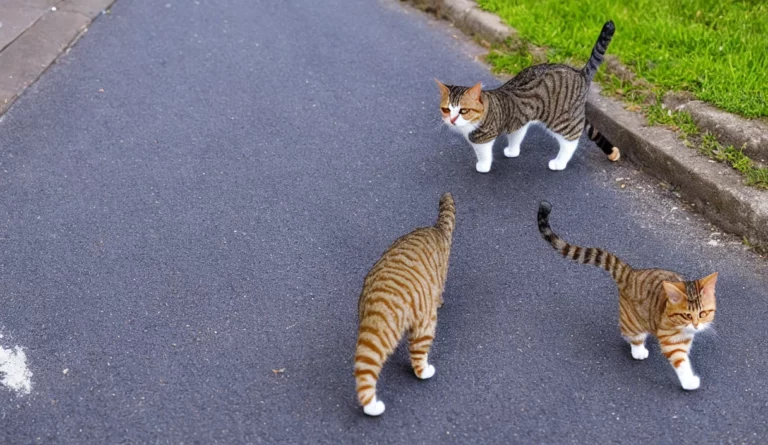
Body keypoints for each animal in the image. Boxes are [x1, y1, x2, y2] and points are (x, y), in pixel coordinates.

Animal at [438, 21, 616, 173]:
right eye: (446, 110)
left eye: (463, 111)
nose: (451, 120)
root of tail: (580, 73)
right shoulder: (519, 119)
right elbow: (516, 136)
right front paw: (512, 150)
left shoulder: (482, 138)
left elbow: (483, 154)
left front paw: (483, 166)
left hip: (562, 119)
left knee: (571, 142)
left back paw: (559, 162)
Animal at [536, 200, 716, 388]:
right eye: (687, 315)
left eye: (702, 313)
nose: (696, 325)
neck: (683, 329)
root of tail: (631, 272)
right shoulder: (670, 340)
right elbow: (679, 360)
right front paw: (688, 381)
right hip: (632, 320)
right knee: (631, 334)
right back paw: (638, 348)